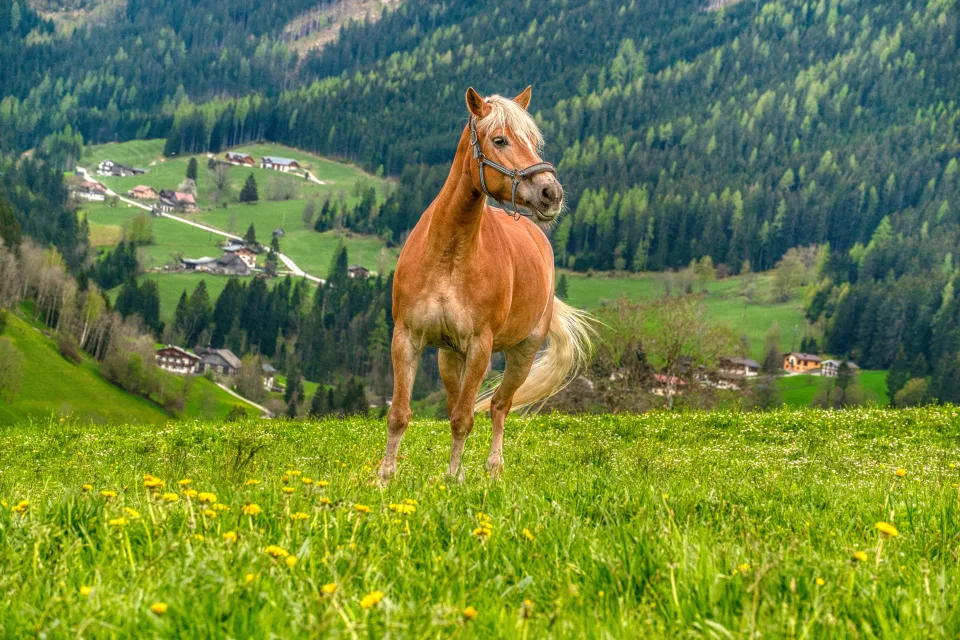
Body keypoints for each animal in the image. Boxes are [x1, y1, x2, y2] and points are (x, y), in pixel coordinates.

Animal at [378, 86, 593, 484]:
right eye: (500, 140)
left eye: (533, 142)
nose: (551, 193)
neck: (448, 257)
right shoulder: (406, 338)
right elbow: (399, 414)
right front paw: (385, 478)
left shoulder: (480, 347)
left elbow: (464, 419)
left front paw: (452, 478)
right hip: (449, 356)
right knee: (457, 402)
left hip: (522, 354)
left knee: (499, 406)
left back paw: (494, 468)